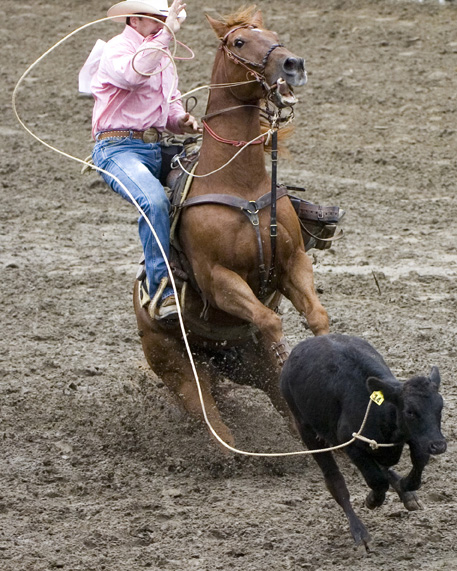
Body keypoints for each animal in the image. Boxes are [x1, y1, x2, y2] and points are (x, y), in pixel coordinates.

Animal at [132, 5, 328, 452]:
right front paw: (284, 352)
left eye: (273, 35)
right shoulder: (219, 278)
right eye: (240, 42)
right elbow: (270, 321)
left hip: (240, 362)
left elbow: (317, 315)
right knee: (208, 414)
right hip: (176, 364)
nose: (293, 65)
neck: (239, 184)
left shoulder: (293, 261)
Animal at [280, 336, 448, 548]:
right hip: (306, 429)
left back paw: (407, 496)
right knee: (335, 480)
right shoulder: (350, 443)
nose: (439, 445)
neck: (381, 410)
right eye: (410, 411)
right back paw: (359, 532)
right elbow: (376, 480)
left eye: (440, 407)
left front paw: (405, 487)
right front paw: (372, 500)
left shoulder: (418, 437)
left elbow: (417, 467)